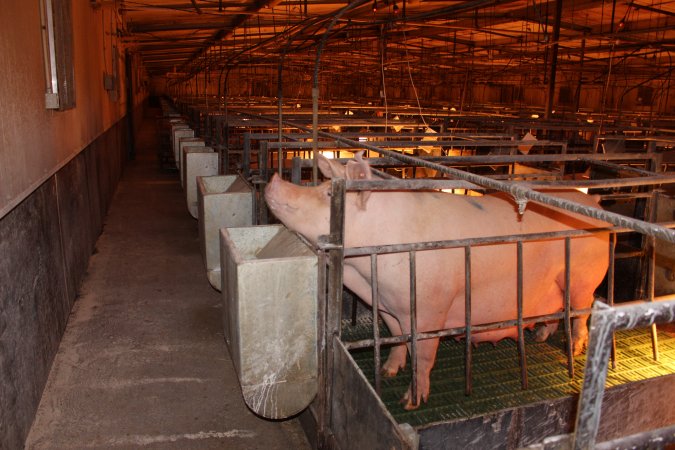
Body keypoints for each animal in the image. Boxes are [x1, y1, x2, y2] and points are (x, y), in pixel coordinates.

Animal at [264, 153, 612, 410]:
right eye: (321, 184)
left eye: (326, 192)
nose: (273, 179)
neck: (364, 269)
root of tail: (596, 206)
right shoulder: (390, 307)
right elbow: (397, 338)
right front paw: (388, 371)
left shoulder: (431, 309)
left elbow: (424, 353)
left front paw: (410, 402)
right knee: (558, 309)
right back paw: (540, 336)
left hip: (583, 277)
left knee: (581, 311)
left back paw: (576, 349)